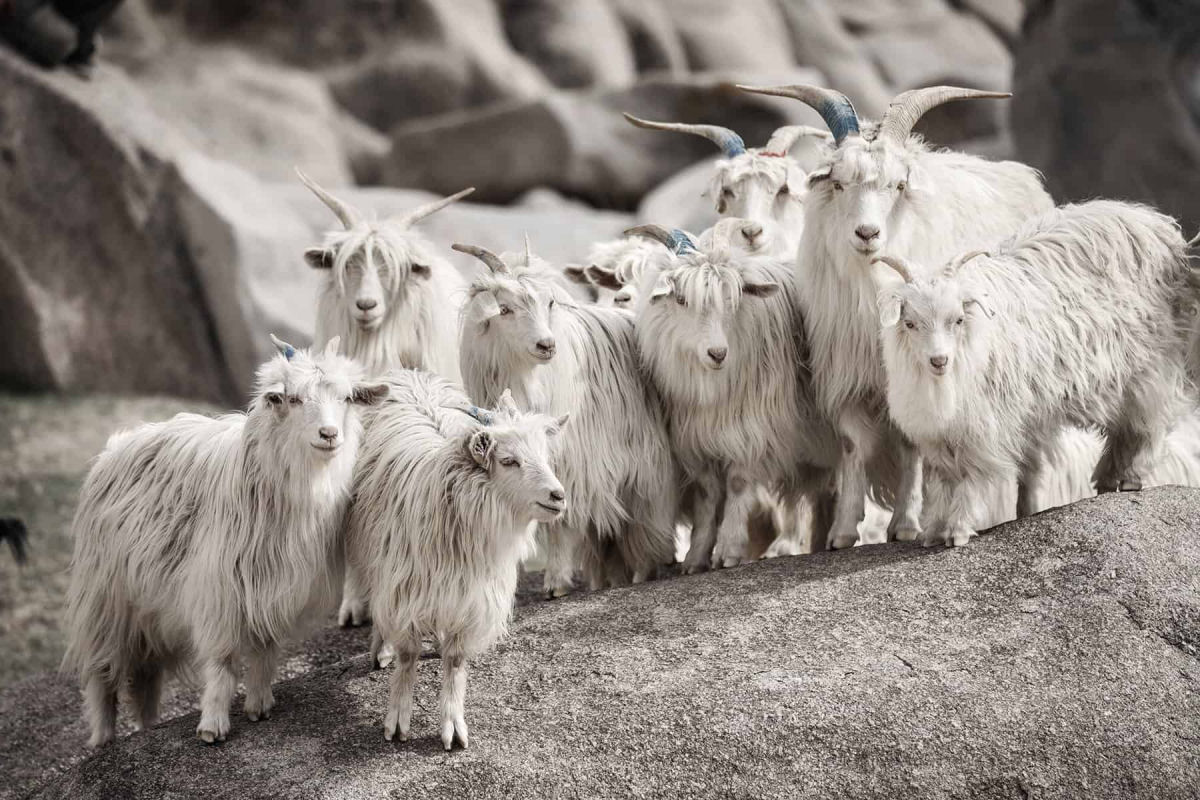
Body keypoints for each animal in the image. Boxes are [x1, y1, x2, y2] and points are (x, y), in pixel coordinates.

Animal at [60, 335, 388, 743]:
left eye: (346, 399)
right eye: (294, 399)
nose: (329, 435)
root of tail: (116, 445)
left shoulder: (272, 587)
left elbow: (264, 650)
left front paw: (259, 705)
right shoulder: (219, 589)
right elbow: (222, 659)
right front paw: (212, 724)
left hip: (147, 604)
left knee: (146, 680)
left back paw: (147, 728)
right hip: (105, 599)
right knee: (102, 675)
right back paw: (103, 740)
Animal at [453, 237, 681, 594]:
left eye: (549, 303)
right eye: (505, 309)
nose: (546, 345)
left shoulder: (579, 460)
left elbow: (564, 516)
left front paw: (556, 583)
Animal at [734, 84, 1056, 554]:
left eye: (899, 185)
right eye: (838, 183)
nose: (868, 234)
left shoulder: (912, 372)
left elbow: (910, 445)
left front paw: (906, 523)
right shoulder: (848, 371)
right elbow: (854, 446)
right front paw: (842, 532)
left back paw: (1027, 508)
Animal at [873, 201, 1200, 544]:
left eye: (958, 319)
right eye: (910, 323)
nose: (939, 360)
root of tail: (1161, 230)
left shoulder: (983, 429)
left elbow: (970, 477)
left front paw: (957, 529)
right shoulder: (940, 434)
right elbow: (944, 480)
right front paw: (936, 530)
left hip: (1149, 368)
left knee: (1146, 426)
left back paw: (1128, 478)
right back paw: (1109, 480)